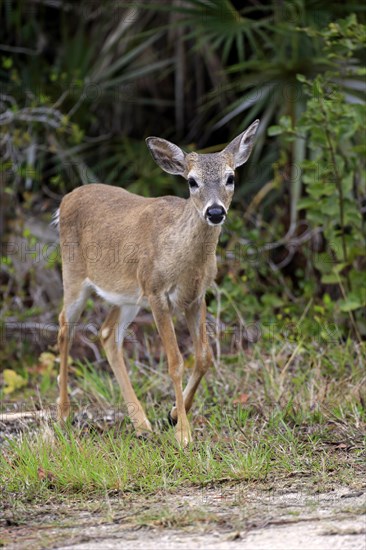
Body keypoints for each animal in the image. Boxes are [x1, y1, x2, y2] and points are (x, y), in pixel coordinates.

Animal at [55, 121, 258, 448]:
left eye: (231, 177)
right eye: (191, 181)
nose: (215, 212)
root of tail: (65, 200)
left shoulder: (196, 296)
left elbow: (204, 357)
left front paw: (174, 413)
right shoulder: (157, 292)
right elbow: (175, 362)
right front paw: (184, 434)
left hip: (128, 296)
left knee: (108, 334)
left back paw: (142, 424)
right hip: (74, 276)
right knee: (65, 328)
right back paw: (63, 415)